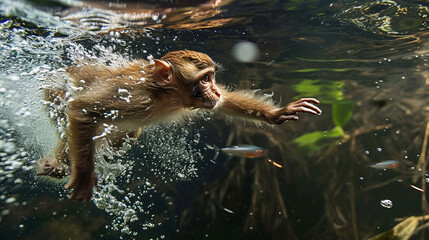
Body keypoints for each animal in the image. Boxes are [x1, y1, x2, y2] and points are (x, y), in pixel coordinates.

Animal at [38, 49, 320, 202]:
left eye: (213, 78)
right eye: (205, 79)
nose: (215, 90)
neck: (164, 95)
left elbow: (225, 103)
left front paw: (278, 113)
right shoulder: (130, 97)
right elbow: (82, 109)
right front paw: (85, 176)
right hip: (54, 94)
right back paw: (58, 165)